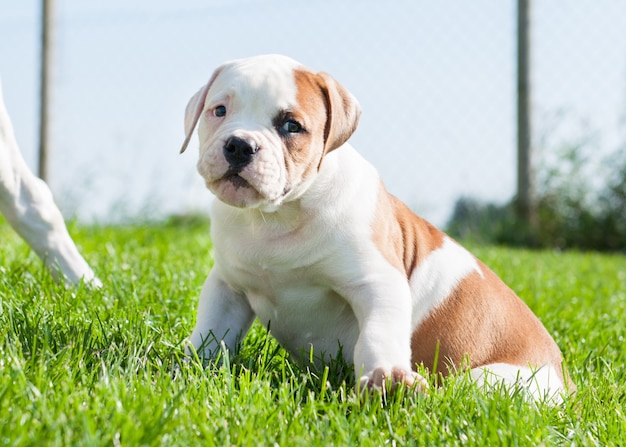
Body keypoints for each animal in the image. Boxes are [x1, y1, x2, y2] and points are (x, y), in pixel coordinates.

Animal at [178, 54, 572, 400]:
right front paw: (187, 367)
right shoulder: (228, 285)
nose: (239, 145)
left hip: (484, 382)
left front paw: (387, 379)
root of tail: (568, 389)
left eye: (291, 126)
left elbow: (377, 335)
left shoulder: (376, 282)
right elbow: (210, 333)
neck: (275, 217)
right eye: (219, 110)